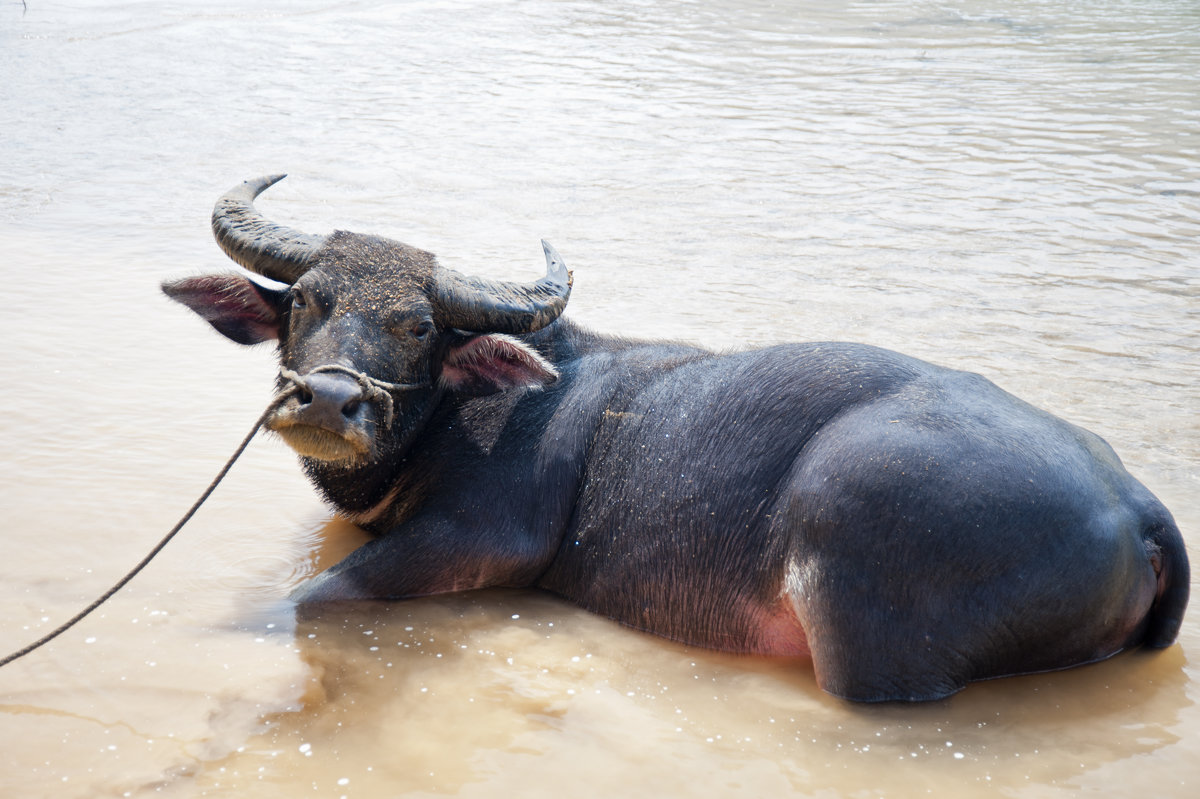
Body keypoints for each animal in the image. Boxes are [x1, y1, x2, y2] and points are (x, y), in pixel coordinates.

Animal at [162, 177, 1190, 700]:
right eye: (307, 299)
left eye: (419, 325)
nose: (328, 400)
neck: (461, 413)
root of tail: (1135, 501)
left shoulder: (484, 539)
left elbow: (315, 596)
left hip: (864, 600)